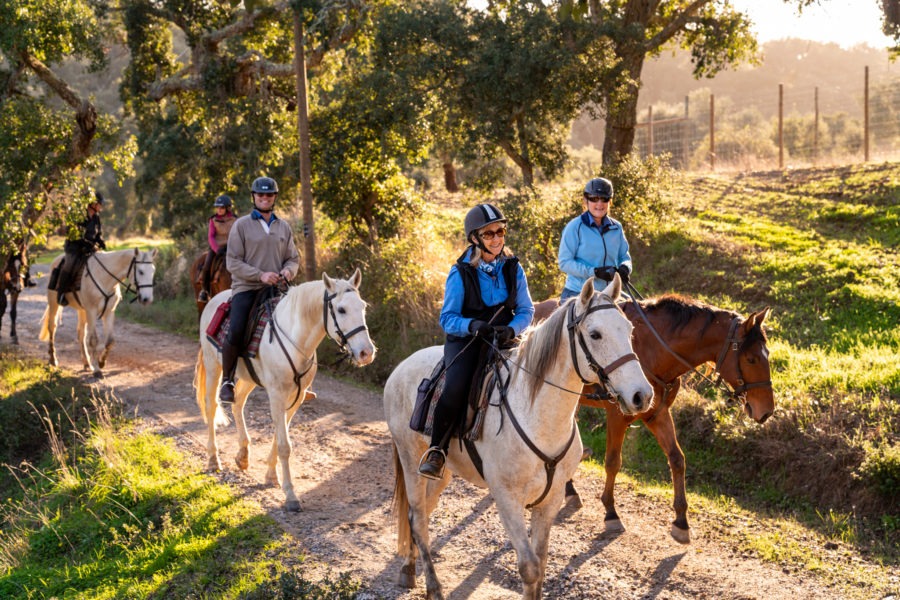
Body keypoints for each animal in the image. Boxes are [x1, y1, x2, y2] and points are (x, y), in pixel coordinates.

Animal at [39, 248, 158, 377]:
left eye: (153, 271)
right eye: (141, 272)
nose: (147, 299)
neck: (104, 277)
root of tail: (56, 260)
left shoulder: (109, 312)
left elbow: (110, 341)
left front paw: (101, 362)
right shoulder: (91, 311)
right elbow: (93, 340)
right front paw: (96, 369)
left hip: (82, 310)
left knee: (81, 333)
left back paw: (86, 362)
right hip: (54, 303)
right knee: (52, 327)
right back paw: (53, 359)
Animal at [194, 269, 376, 512]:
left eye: (362, 306)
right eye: (341, 309)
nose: (366, 353)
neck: (295, 340)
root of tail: (215, 299)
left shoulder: (295, 398)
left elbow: (279, 438)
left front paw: (271, 476)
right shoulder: (277, 395)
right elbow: (284, 445)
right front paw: (290, 495)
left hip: (249, 378)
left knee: (238, 403)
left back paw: (242, 455)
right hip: (214, 366)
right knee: (212, 406)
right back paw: (214, 460)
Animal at [384, 276, 653, 600]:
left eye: (629, 330)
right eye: (595, 334)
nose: (642, 395)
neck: (539, 417)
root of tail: (400, 368)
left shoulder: (550, 500)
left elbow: (542, 563)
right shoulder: (507, 499)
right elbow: (530, 567)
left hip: (443, 473)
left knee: (420, 512)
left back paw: (409, 569)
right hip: (411, 460)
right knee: (417, 517)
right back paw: (433, 586)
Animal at [532, 293, 774, 544]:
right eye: (751, 359)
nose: (766, 410)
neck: (653, 349)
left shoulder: (658, 414)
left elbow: (677, 459)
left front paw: (681, 522)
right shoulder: (618, 415)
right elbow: (613, 462)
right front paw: (611, 512)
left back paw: (569, 490)